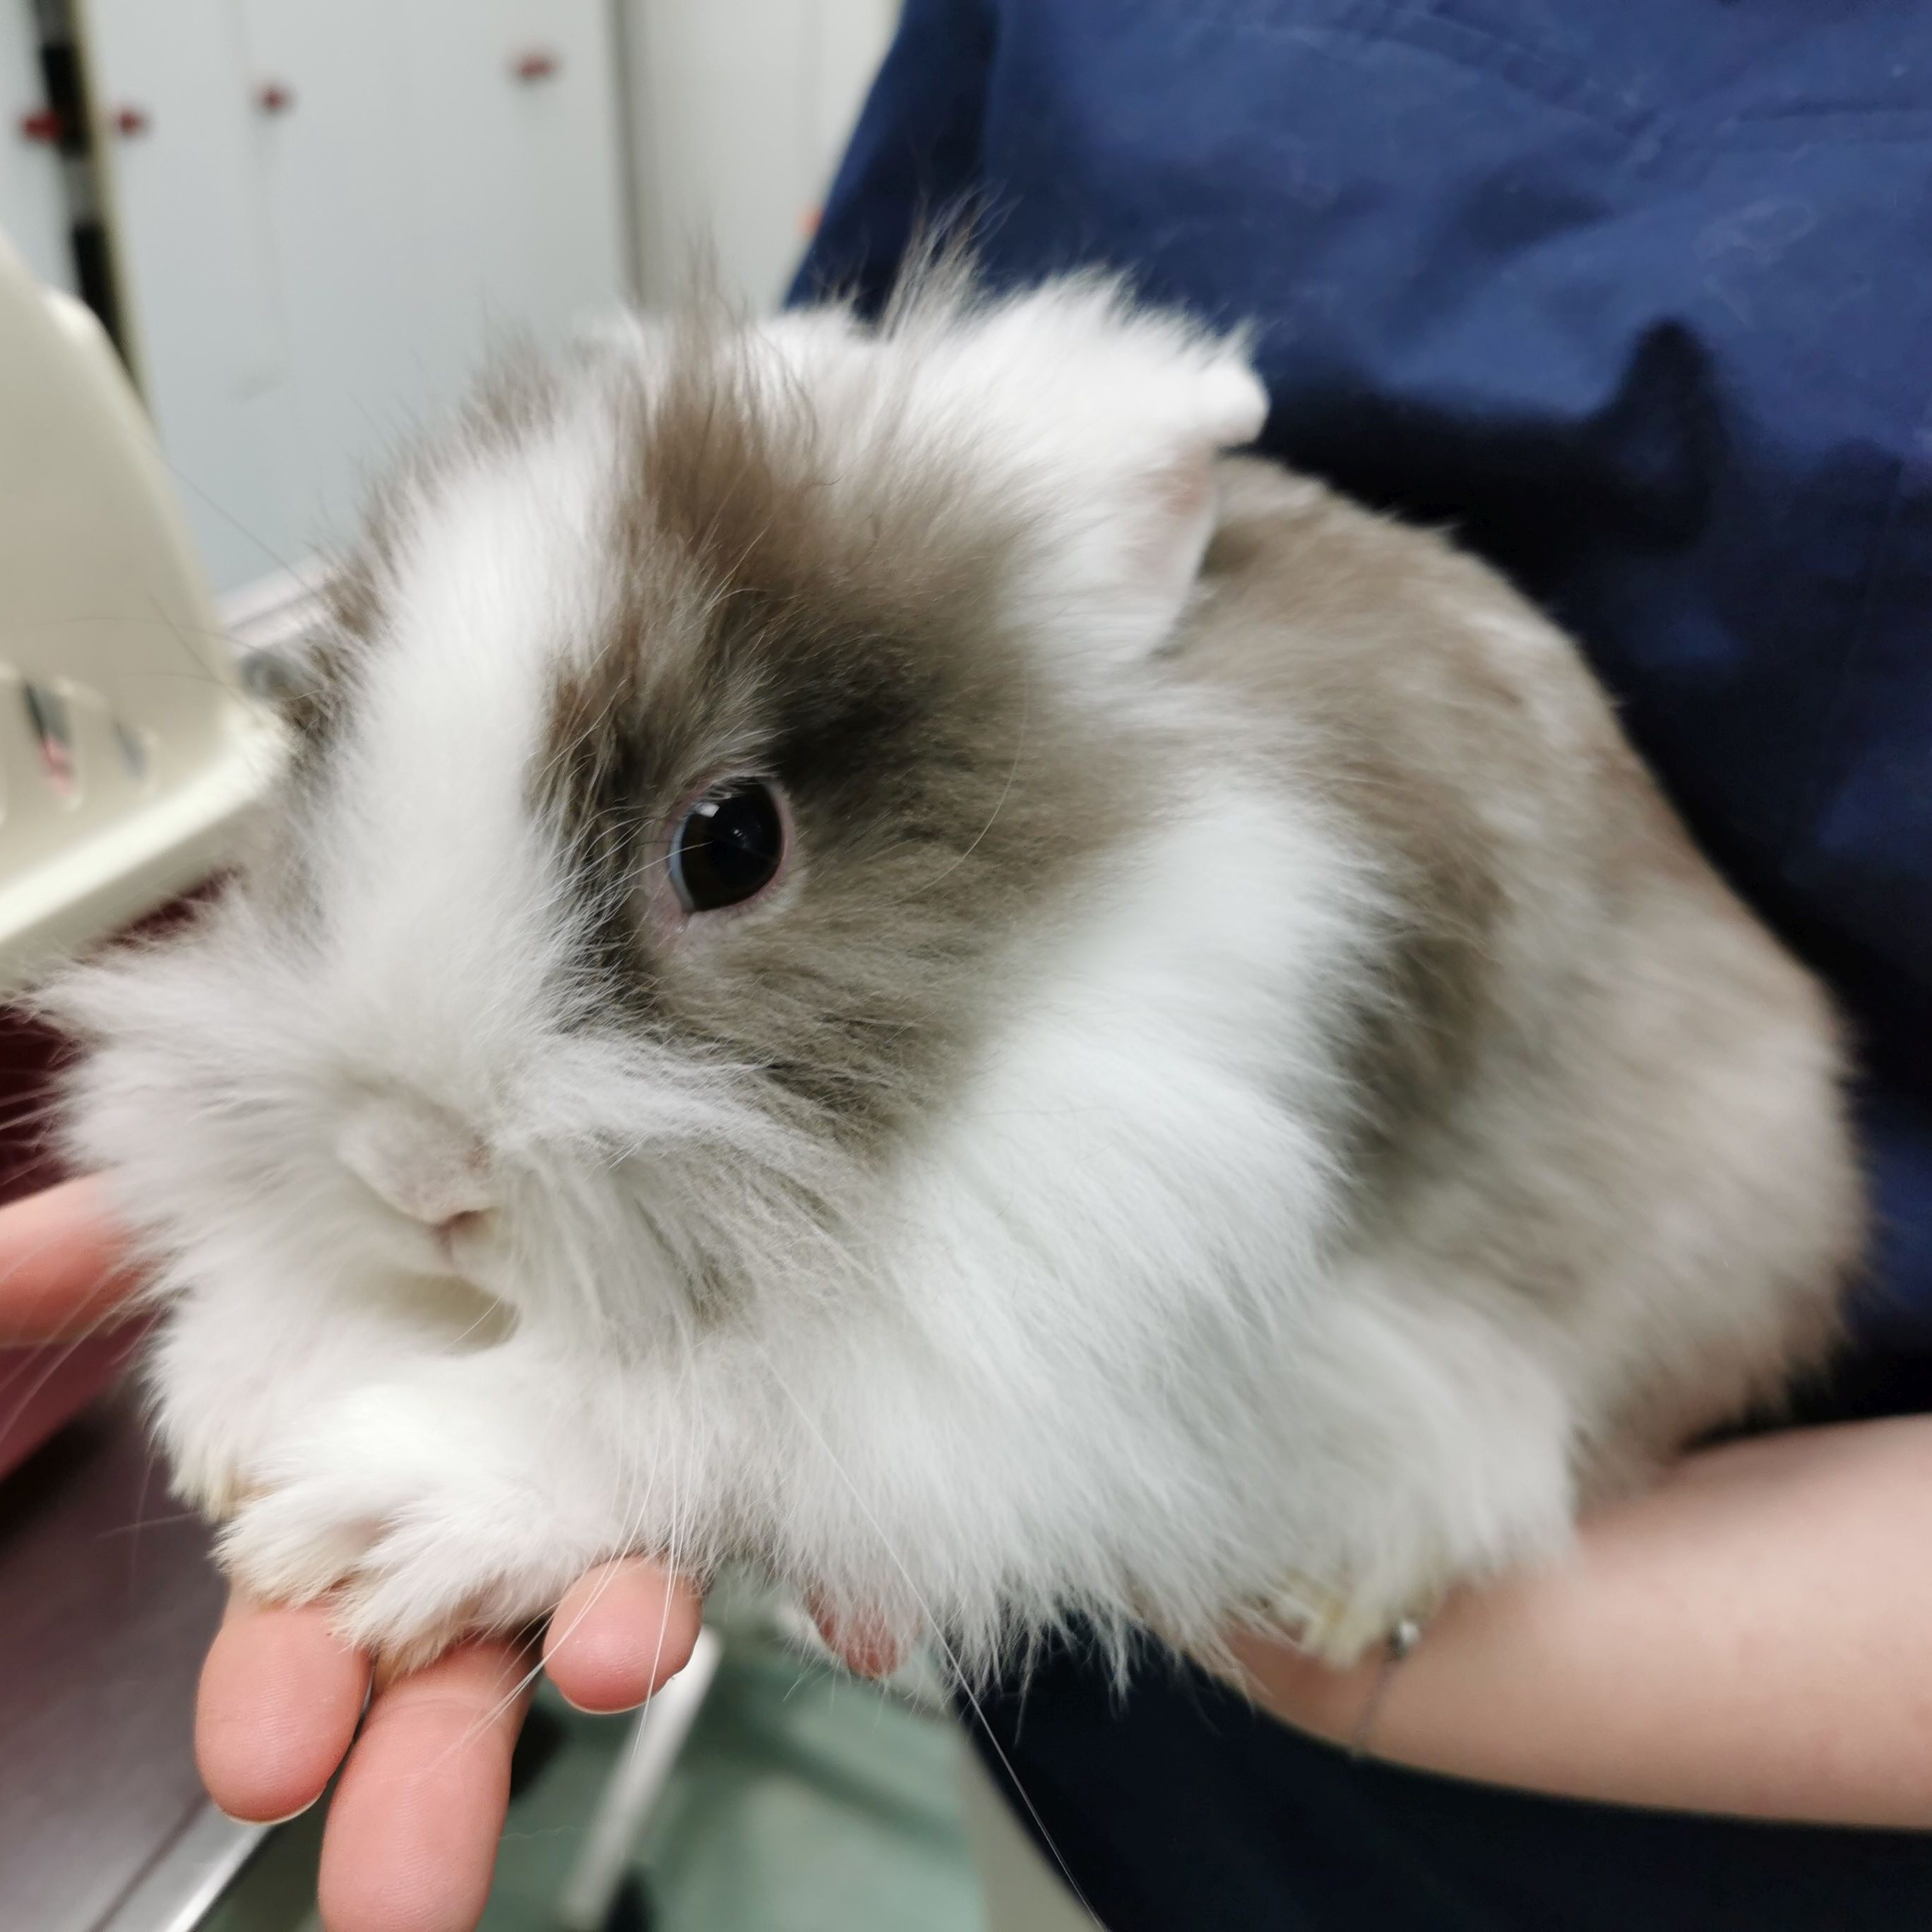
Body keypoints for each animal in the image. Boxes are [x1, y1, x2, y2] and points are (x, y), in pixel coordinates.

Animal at [48, 266, 1863, 1678]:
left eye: (729, 842)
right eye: (325, 743)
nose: (414, 1166)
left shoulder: (1025, 1341)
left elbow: (709, 1401)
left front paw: (383, 1511)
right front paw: (237, 1390)